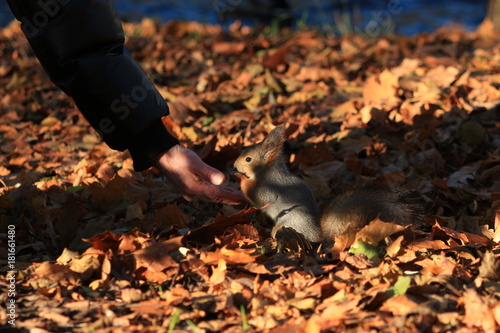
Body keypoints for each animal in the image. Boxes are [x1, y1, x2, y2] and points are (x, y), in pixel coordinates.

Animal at [234, 124, 422, 241]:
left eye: (248, 159)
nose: (235, 165)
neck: (267, 173)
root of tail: (318, 235)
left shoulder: (269, 190)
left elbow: (258, 198)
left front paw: (241, 178)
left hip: (288, 223)